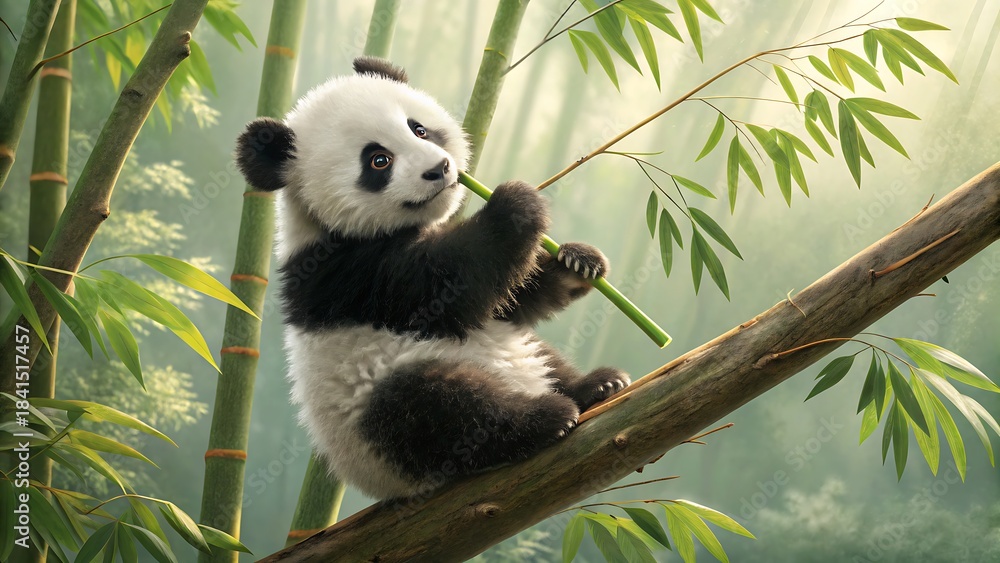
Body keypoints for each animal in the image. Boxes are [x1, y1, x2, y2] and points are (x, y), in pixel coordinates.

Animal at [235, 56, 630, 500]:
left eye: (418, 128)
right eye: (379, 160)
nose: (439, 168)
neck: (316, 223)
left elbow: (510, 297)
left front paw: (578, 261)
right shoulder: (346, 271)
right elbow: (448, 287)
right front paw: (515, 204)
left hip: (519, 347)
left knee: (542, 355)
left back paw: (596, 385)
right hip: (378, 413)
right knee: (441, 409)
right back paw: (544, 418)